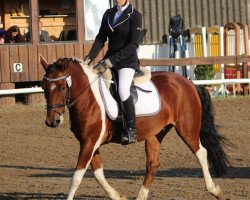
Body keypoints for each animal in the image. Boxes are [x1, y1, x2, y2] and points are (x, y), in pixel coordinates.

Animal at [40, 54, 229, 199]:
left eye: (62, 87)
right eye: (44, 87)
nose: (52, 122)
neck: (90, 98)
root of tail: (188, 83)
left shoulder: (90, 143)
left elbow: (77, 177)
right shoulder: (89, 143)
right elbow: (99, 174)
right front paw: (117, 196)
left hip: (187, 128)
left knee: (201, 152)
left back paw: (215, 189)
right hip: (155, 134)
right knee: (152, 164)